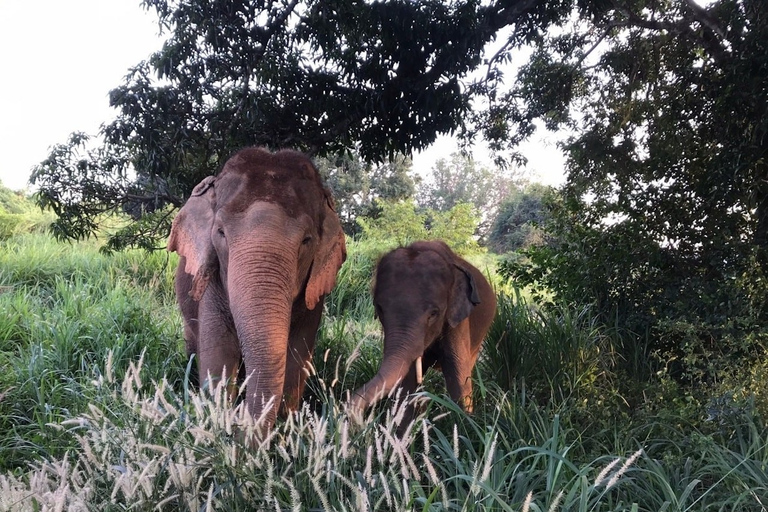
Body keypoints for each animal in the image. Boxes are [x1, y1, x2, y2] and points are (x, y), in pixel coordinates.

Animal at [171, 147, 348, 428]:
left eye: (307, 240)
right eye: (220, 232)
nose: (241, 428)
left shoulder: (313, 298)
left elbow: (297, 357)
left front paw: (286, 428)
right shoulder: (213, 281)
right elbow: (219, 355)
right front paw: (219, 420)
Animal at [350, 240, 496, 420]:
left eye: (434, 314)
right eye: (379, 308)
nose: (356, 417)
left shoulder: (457, 320)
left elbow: (458, 374)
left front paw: (464, 421)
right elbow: (407, 381)